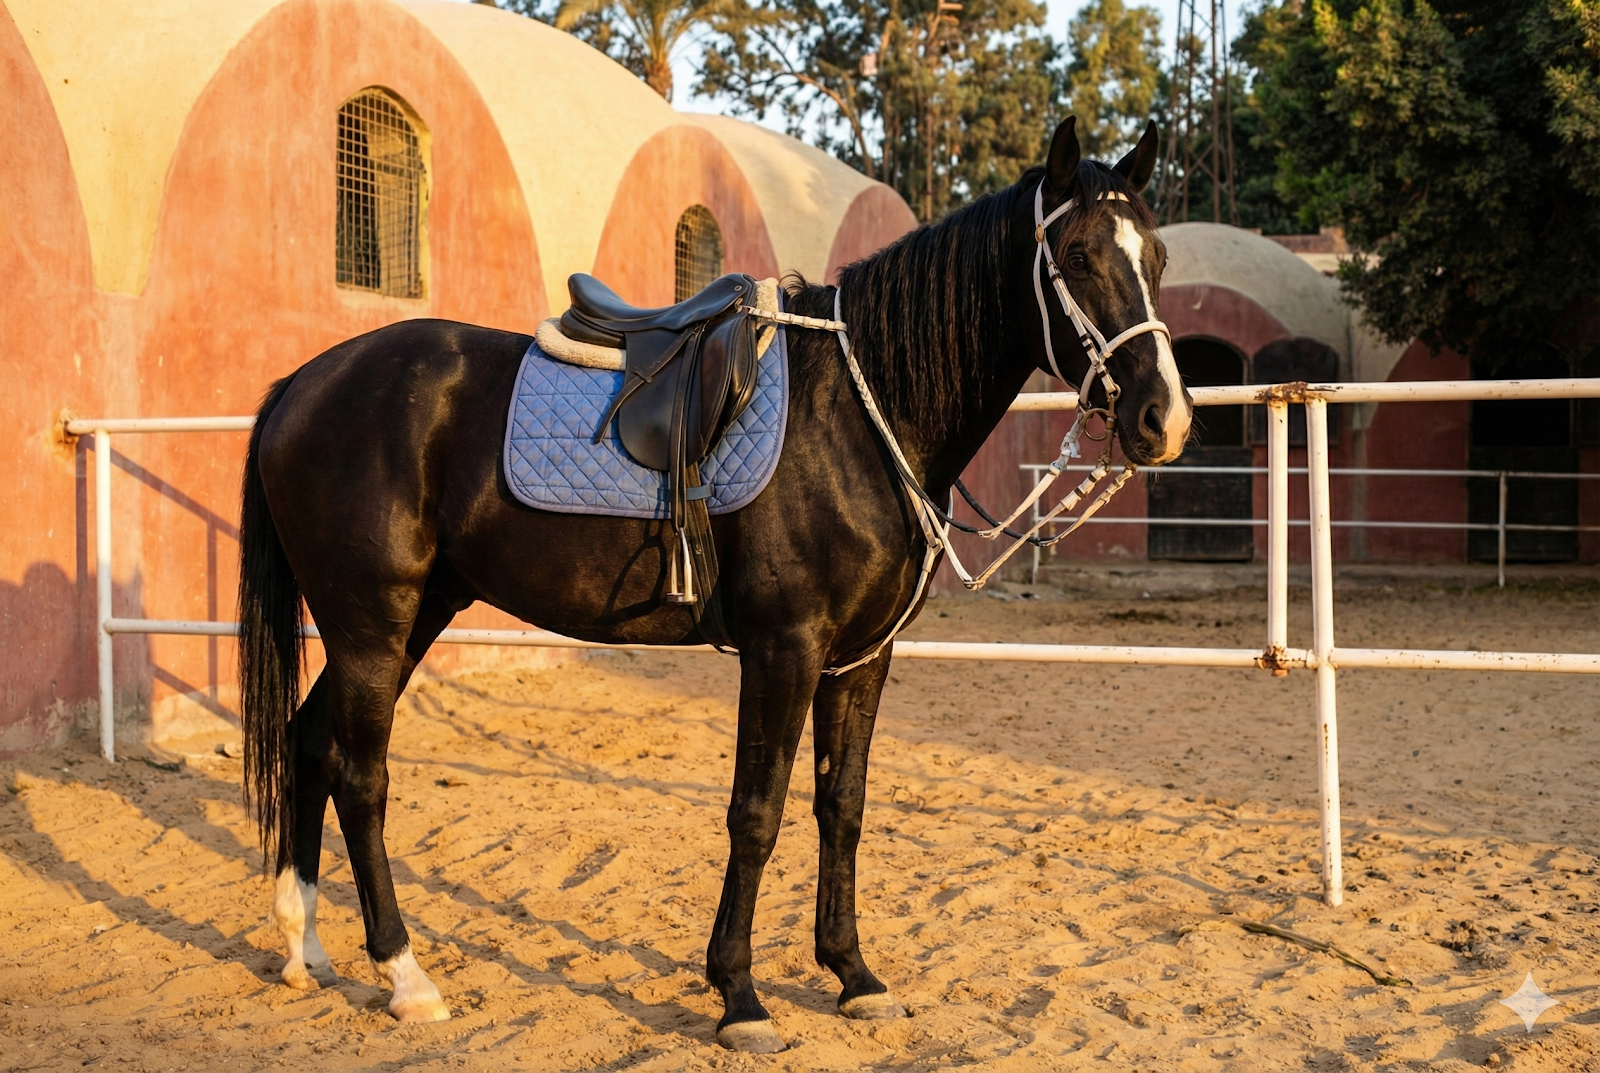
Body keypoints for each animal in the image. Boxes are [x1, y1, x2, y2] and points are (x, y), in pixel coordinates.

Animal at [238, 115, 1191, 1052]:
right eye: (1076, 256)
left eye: (1156, 257)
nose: (1166, 419)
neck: (858, 414)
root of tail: (304, 383)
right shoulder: (784, 648)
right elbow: (757, 811)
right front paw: (740, 995)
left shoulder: (860, 658)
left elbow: (842, 804)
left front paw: (854, 975)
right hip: (372, 622)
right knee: (360, 775)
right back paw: (406, 976)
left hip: (411, 616)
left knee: (310, 741)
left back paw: (304, 947)